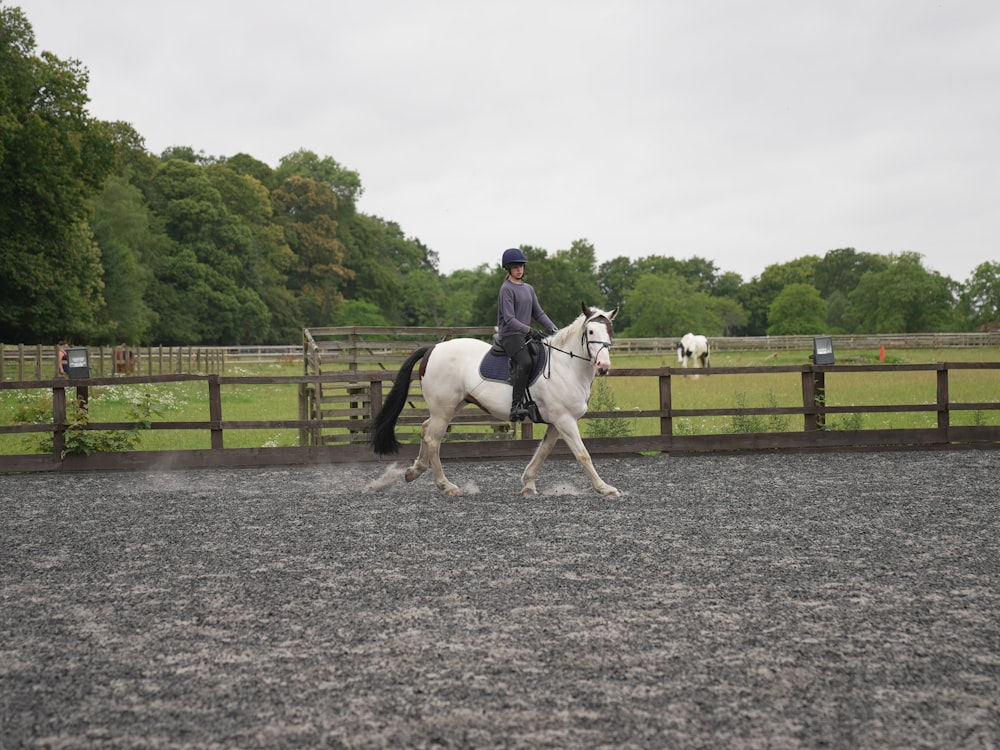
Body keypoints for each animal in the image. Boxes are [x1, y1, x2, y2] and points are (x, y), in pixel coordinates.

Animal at [374, 306, 620, 500]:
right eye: (590, 331)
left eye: (609, 331)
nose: (603, 366)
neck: (566, 366)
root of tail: (433, 348)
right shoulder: (565, 420)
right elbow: (583, 454)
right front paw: (605, 488)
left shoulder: (556, 421)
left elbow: (543, 451)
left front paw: (528, 484)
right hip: (444, 409)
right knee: (433, 440)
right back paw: (447, 486)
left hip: (450, 407)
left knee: (426, 429)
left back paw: (414, 471)